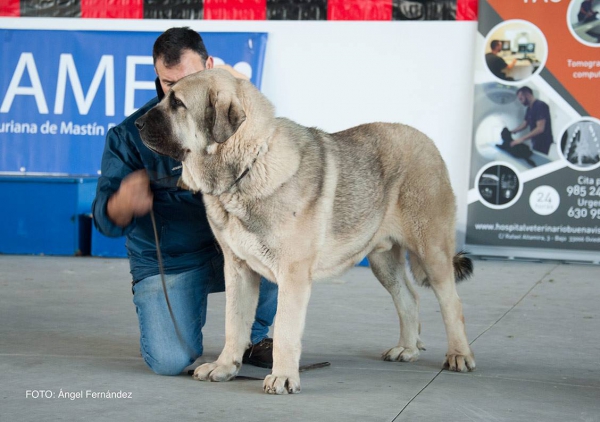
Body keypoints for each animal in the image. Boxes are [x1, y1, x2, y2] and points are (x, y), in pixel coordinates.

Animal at [135, 67, 474, 394]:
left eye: (177, 103)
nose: (137, 123)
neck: (248, 165)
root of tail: (428, 143)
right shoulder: (239, 269)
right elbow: (235, 323)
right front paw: (225, 367)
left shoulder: (292, 274)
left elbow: (285, 329)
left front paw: (283, 377)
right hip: (383, 260)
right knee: (408, 298)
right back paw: (407, 348)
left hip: (432, 251)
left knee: (452, 304)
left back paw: (458, 354)